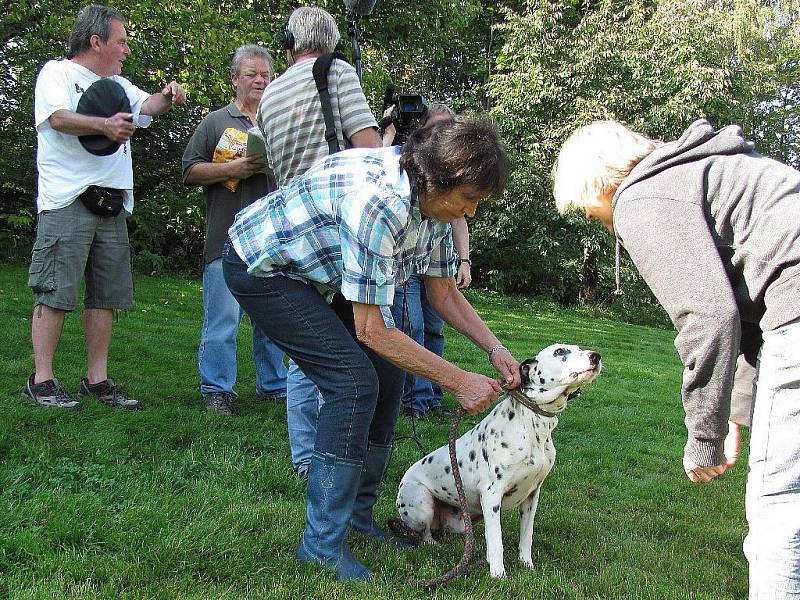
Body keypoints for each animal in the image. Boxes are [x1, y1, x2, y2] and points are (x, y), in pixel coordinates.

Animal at [394, 344, 600, 580]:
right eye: (560, 351)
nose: (596, 356)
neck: (532, 427)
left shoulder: (532, 495)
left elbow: (526, 537)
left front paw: (527, 565)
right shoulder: (492, 495)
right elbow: (496, 542)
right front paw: (498, 574)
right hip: (421, 502)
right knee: (425, 532)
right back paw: (431, 543)